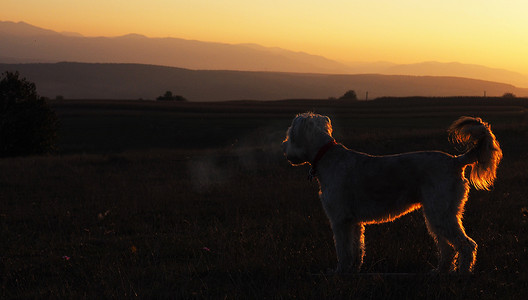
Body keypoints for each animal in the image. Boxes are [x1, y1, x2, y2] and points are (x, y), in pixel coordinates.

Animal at [282, 111, 502, 274]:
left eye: (290, 134)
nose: (283, 147)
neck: (326, 157)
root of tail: (456, 161)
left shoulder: (340, 219)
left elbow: (343, 250)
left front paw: (339, 272)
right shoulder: (354, 221)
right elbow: (356, 249)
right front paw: (354, 270)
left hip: (440, 214)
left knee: (467, 245)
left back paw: (462, 273)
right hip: (438, 215)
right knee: (447, 248)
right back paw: (440, 271)